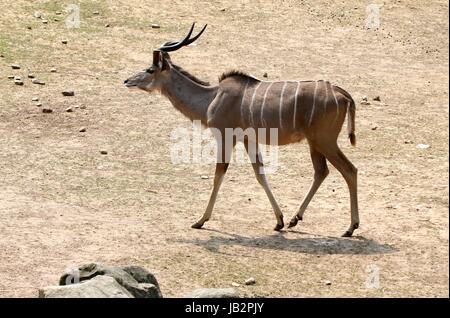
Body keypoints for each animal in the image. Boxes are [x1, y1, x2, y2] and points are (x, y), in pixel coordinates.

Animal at [125, 23, 360, 236]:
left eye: (150, 69)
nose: (127, 80)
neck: (212, 97)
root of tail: (343, 94)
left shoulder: (225, 136)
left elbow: (218, 175)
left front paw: (200, 220)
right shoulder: (249, 140)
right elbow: (260, 173)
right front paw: (279, 221)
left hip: (324, 140)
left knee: (349, 170)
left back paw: (350, 227)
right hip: (314, 142)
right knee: (322, 171)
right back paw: (296, 219)